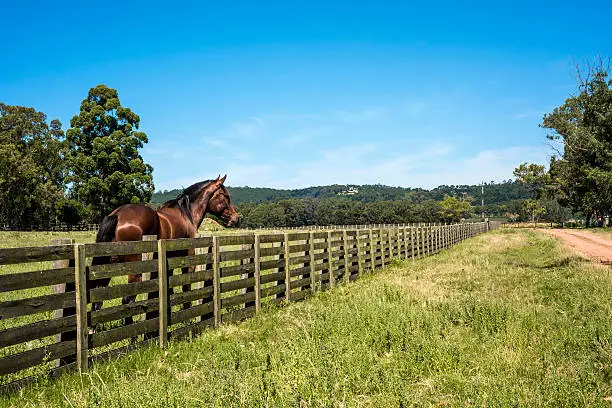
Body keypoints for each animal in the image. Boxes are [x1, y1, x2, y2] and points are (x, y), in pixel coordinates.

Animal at [92, 176, 238, 316]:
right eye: (225, 195)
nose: (235, 218)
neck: (187, 214)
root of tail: (118, 215)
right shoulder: (188, 260)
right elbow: (186, 288)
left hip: (108, 266)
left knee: (97, 302)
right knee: (127, 300)